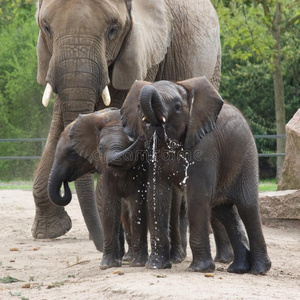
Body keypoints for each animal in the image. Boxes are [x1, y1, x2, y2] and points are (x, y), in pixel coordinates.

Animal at [32, 0, 221, 244]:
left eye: (113, 29)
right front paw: (49, 232)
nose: (65, 188)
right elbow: (59, 124)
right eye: (46, 27)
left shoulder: (142, 55)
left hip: (214, 63)